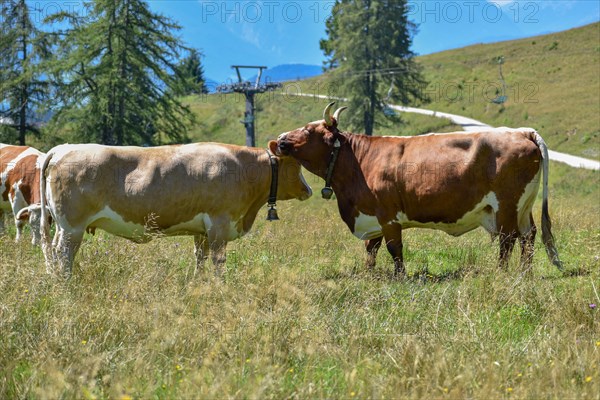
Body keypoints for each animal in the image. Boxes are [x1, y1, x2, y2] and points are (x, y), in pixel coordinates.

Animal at [41, 141, 314, 278]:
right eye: (296, 164)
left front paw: (198, 283)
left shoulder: (202, 230)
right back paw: (66, 283)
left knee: (53, 251)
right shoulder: (219, 224)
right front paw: (220, 285)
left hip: (63, 226)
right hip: (72, 227)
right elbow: (218, 260)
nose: (309, 190)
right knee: (64, 254)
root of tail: (63, 148)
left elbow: (200, 258)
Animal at [276, 101, 564, 276]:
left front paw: (400, 277)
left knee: (508, 239)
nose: (280, 139)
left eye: (307, 130)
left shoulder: (388, 217)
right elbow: (371, 249)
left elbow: (394, 249)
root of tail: (520, 131)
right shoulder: (371, 217)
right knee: (528, 236)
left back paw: (501, 274)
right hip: (523, 206)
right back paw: (524, 274)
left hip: (506, 205)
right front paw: (370, 274)